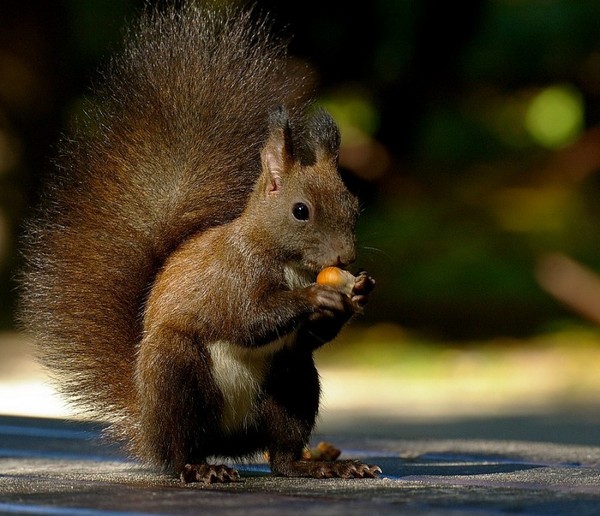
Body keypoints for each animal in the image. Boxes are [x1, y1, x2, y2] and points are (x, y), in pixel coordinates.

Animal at [21, 2, 382, 484]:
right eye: (301, 210)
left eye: (353, 205)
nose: (346, 257)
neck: (284, 261)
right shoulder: (229, 277)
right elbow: (246, 318)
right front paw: (316, 296)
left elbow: (307, 337)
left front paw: (356, 293)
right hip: (175, 371)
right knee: (180, 448)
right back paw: (199, 468)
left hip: (292, 380)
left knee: (282, 454)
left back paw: (319, 465)